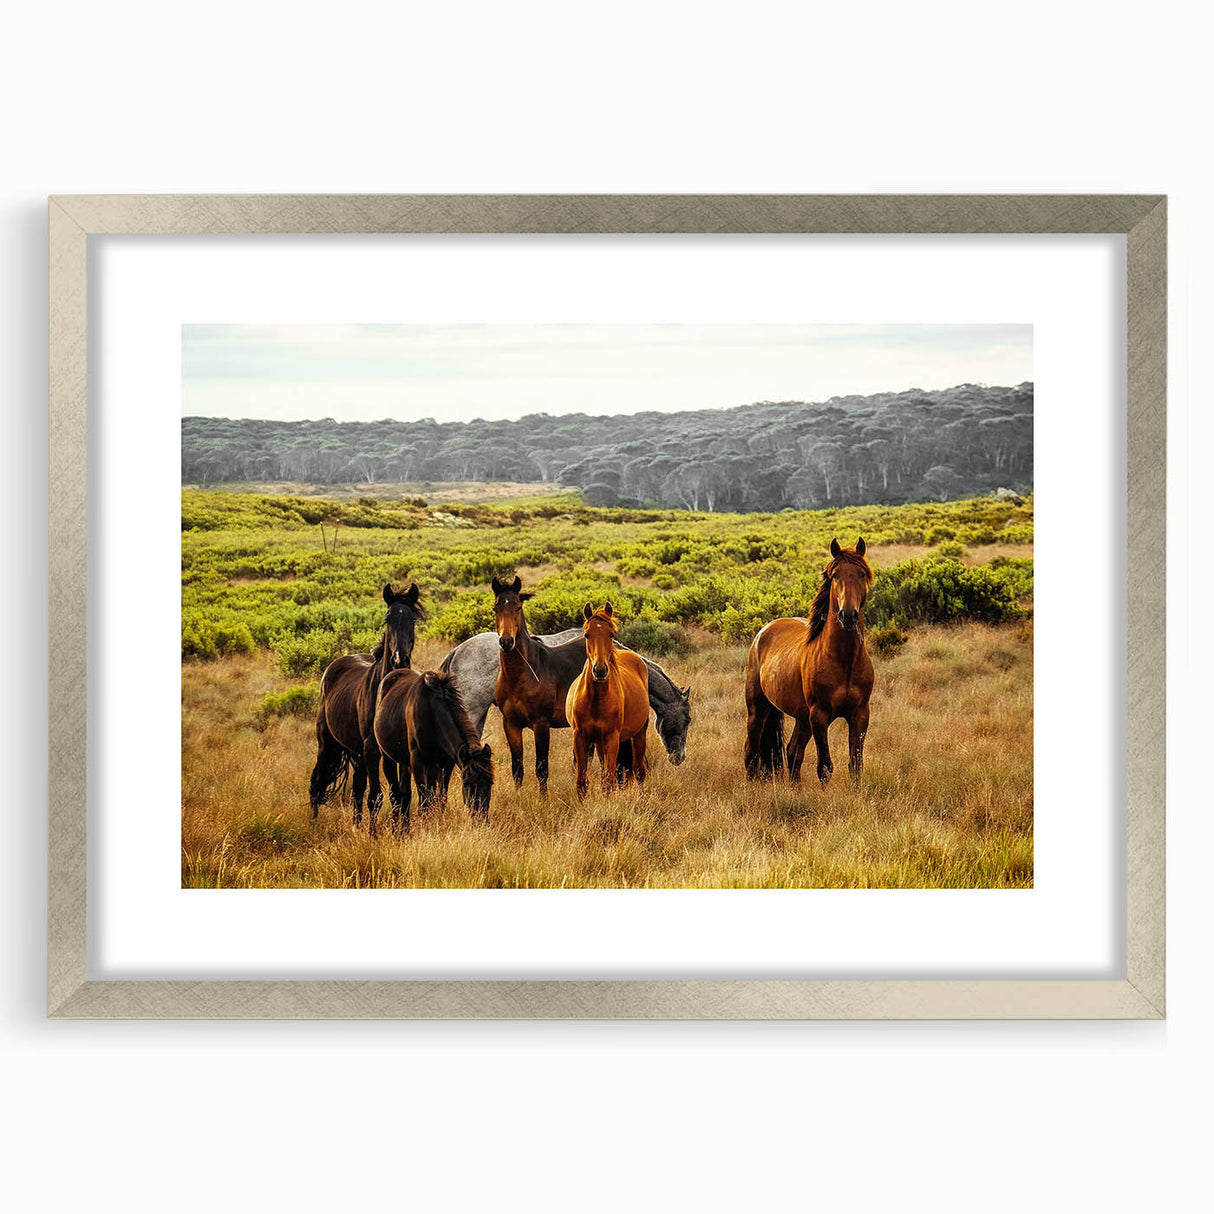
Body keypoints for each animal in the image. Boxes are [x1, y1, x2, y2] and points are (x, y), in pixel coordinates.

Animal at [309, 582, 422, 832]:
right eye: (388, 618)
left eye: (412, 619)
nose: (399, 659)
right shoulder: (372, 749)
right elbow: (377, 796)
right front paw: (374, 835)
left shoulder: (398, 753)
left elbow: (402, 794)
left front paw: (402, 831)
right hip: (328, 743)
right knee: (317, 780)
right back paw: (314, 822)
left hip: (356, 752)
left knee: (358, 788)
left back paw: (356, 825)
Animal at [373, 668, 494, 833]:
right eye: (467, 784)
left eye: (490, 783)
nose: (480, 819)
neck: (432, 713)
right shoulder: (417, 761)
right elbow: (424, 801)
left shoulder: (446, 762)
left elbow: (440, 798)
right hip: (388, 758)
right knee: (396, 794)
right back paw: (398, 830)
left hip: (410, 763)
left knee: (406, 794)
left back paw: (405, 828)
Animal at [565, 602, 650, 798]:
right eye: (587, 634)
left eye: (611, 633)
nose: (600, 670)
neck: (596, 699)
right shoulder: (580, 737)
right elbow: (582, 782)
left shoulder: (612, 738)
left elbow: (609, 781)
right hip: (599, 743)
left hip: (639, 734)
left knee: (639, 771)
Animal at [744, 538, 874, 785]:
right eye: (835, 575)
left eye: (862, 574)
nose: (848, 615)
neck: (845, 660)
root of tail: (763, 632)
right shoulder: (819, 716)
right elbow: (825, 767)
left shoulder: (860, 714)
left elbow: (856, 765)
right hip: (758, 709)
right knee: (751, 751)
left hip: (802, 717)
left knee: (792, 751)